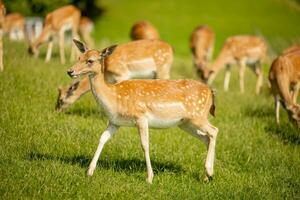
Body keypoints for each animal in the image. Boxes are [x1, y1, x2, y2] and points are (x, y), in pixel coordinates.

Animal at [67, 39, 218, 184]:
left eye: (90, 60)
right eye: (79, 57)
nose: (70, 71)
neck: (114, 98)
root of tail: (210, 92)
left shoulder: (141, 117)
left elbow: (145, 145)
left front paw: (149, 178)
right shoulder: (115, 122)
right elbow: (102, 138)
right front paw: (89, 172)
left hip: (198, 115)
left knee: (214, 130)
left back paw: (210, 172)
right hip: (185, 123)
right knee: (206, 137)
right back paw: (206, 177)